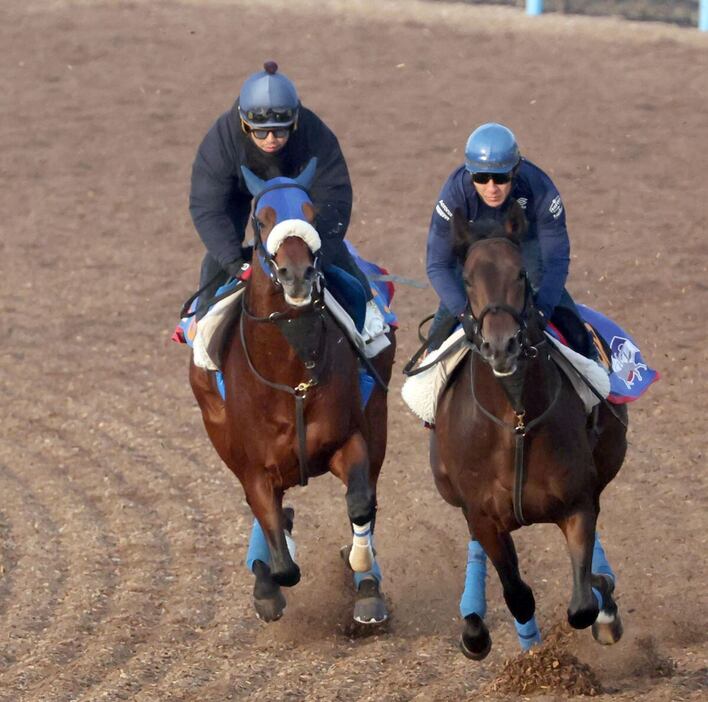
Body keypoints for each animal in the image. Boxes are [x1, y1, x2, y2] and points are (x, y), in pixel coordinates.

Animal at [188, 161, 396, 628]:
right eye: (260, 218)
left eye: (311, 211)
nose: (297, 275)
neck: (290, 375)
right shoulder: (254, 470)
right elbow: (283, 563)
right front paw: (269, 576)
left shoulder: (348, 441)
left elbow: (360, 505)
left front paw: (360, 565)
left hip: (378, 422)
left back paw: (368, 589)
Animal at [428, 202, 628, 660]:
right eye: (468, 279)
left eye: (520, 273)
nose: (501, 346)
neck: (515, 421)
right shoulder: (483, 514)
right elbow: (518, 594)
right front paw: (522, 651)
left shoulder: (576, 502)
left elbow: (583, 603)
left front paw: (603, 603)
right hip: (452, 492)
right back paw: (473, 623)